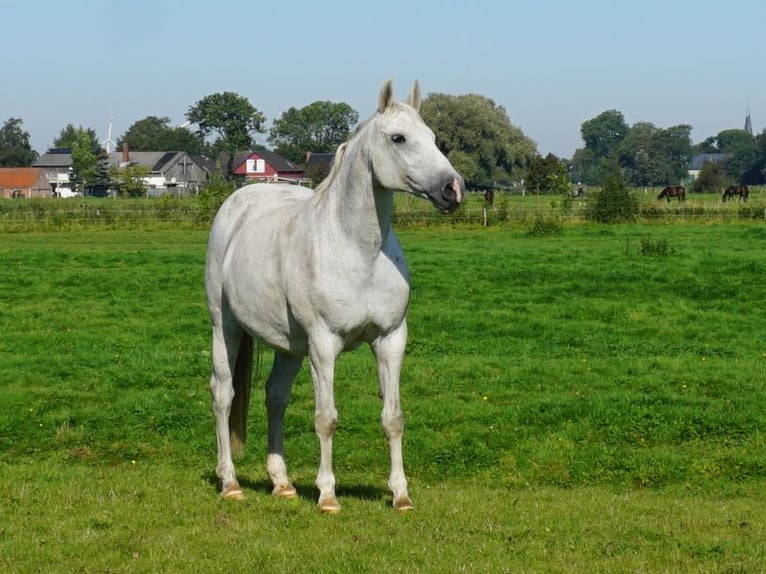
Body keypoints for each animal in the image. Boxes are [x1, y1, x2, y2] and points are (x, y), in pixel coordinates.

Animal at [205, 80, 464, 514]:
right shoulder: (324, 345)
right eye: (398, 138)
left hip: (290, 346)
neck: (359, 250)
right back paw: (230, 482)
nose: (453, 189)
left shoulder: (391, 339)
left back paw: (282, 483)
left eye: (432, 138)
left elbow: (393, 417)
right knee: (224, 394)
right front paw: (327, 495)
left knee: (275, 396)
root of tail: (236, 204)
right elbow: (326, 418)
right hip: (225, 327)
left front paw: (401, 495)